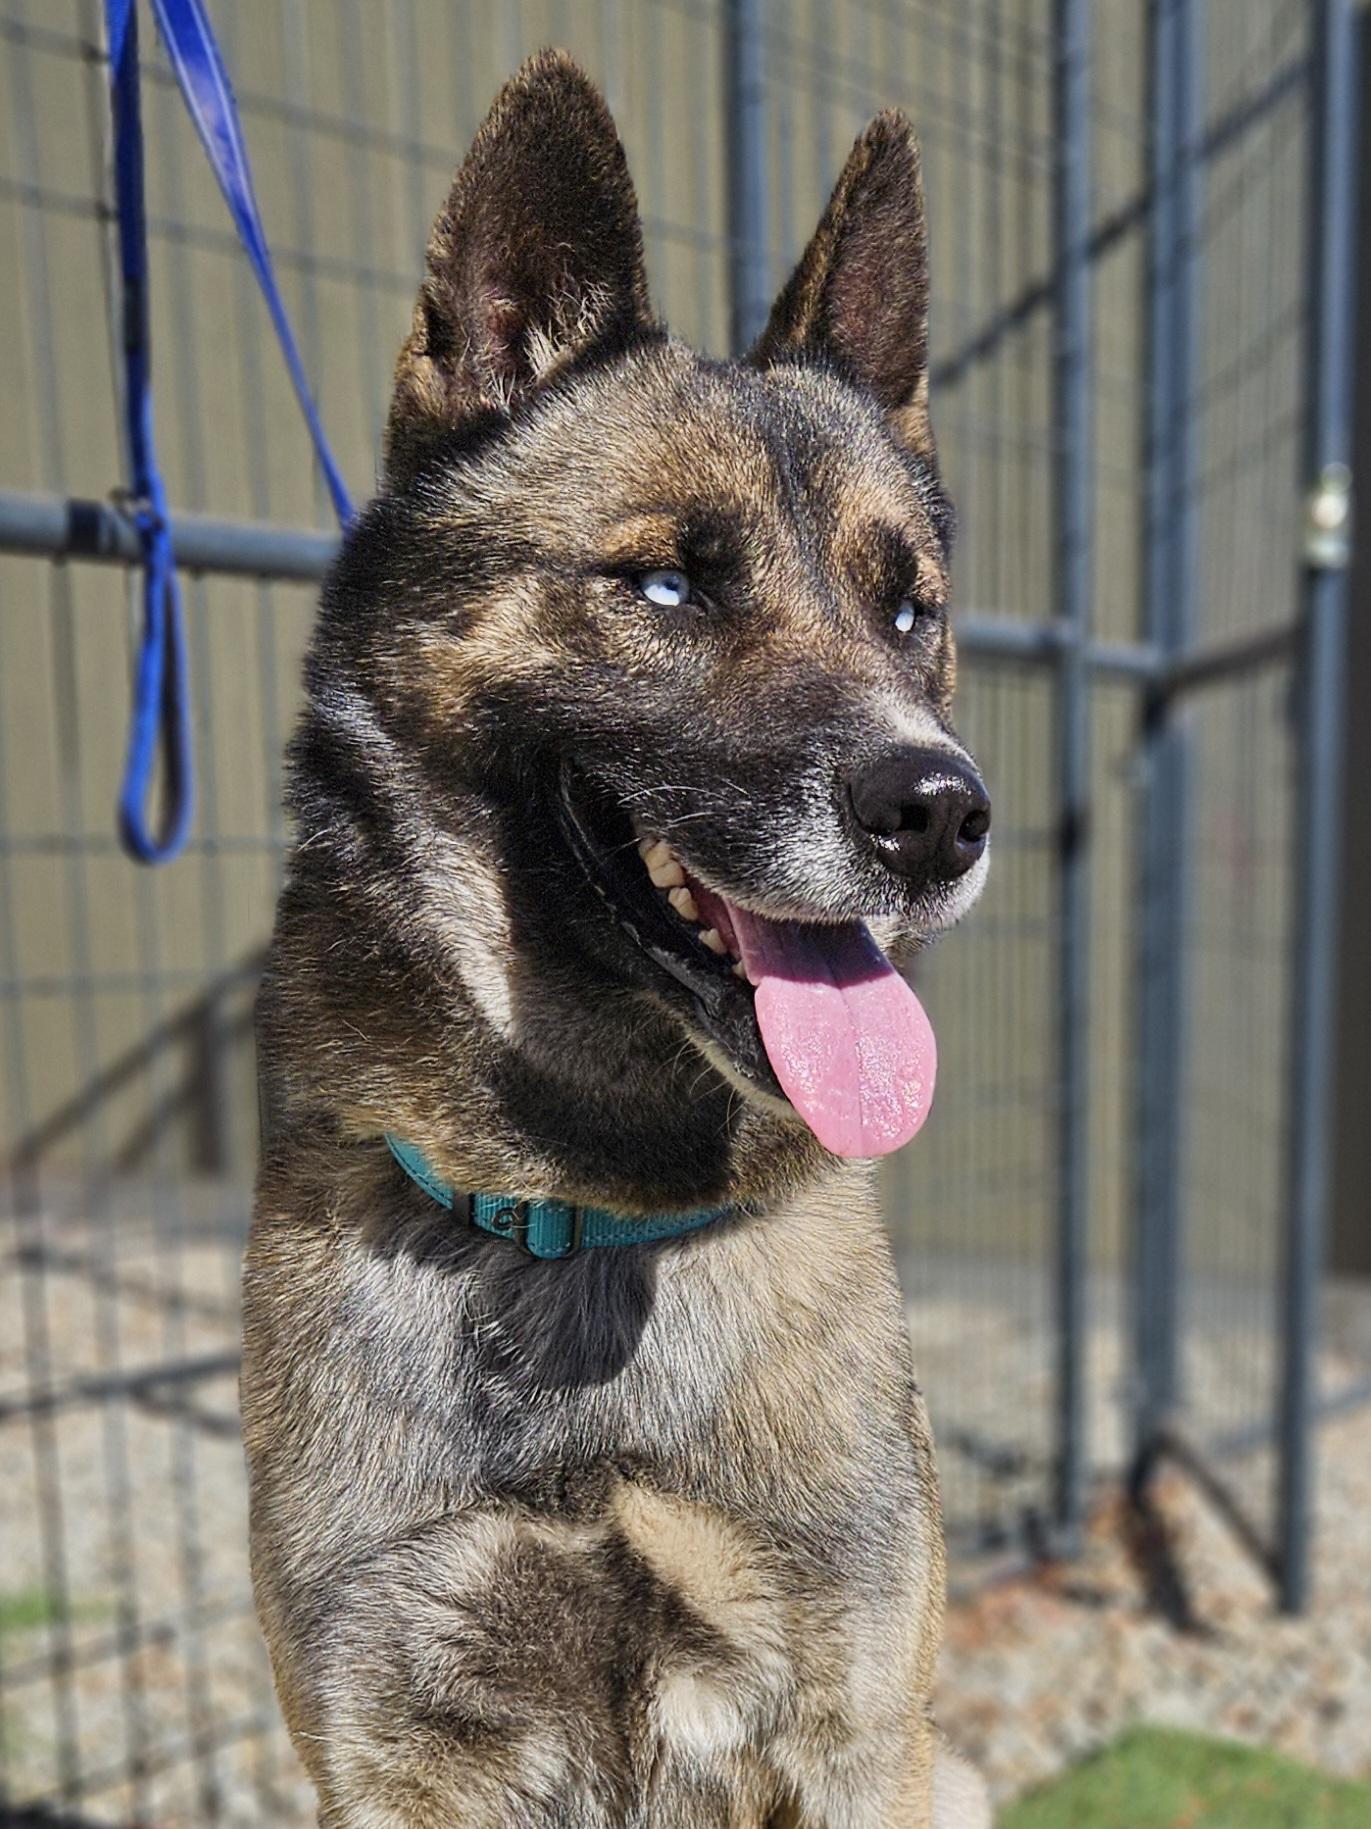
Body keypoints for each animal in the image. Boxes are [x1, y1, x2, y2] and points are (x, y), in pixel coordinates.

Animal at [244, 50, 992, 1828]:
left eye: (907, 609)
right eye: (663, 586)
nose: (941, 814)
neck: (582, 1231)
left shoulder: (858, 1732)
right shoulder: (389, 1746)